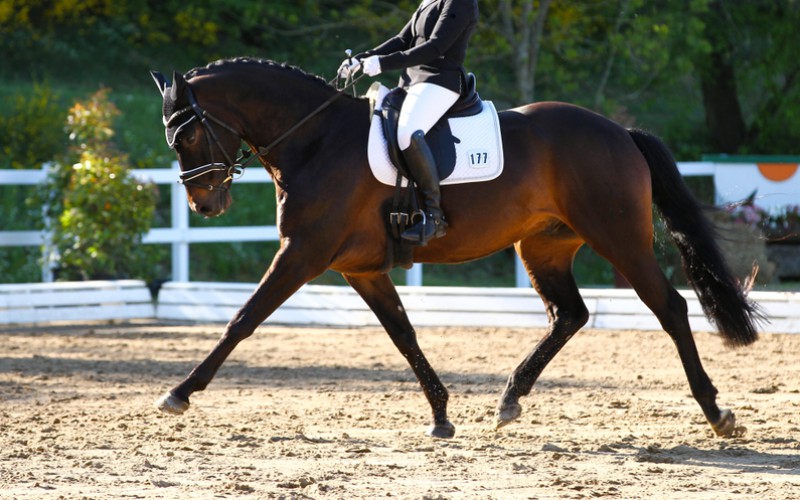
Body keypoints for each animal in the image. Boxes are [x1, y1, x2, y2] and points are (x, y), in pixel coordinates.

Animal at [148, 56, 764, 438]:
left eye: (188, 133)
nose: (204, 205)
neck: (315, 139)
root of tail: (620, 132)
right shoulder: (359, 268)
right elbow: (403, 335)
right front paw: (442, 414)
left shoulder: (303, 252)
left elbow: (243, 319)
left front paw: (180, 392)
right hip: (542, 247)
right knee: (569, 314)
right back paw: (510, 399)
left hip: (619, 238)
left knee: (671, 308)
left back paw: (717, 411)